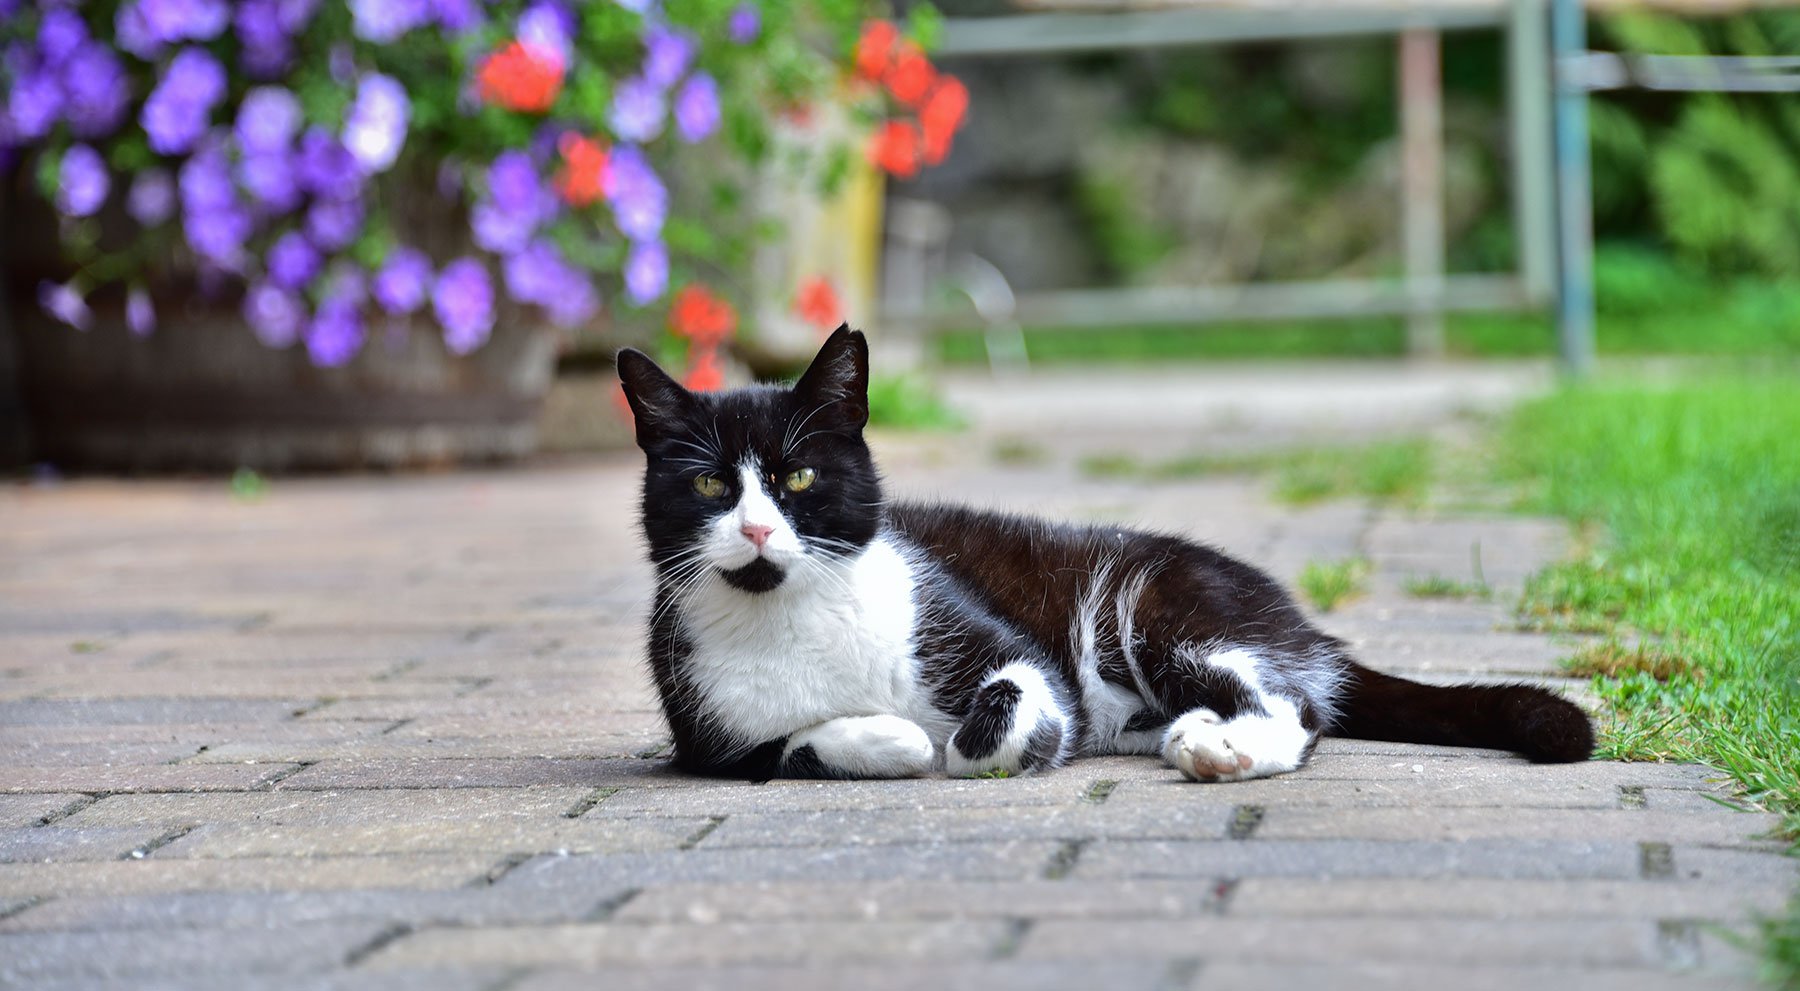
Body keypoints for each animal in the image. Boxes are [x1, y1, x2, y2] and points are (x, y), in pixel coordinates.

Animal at [615, 325, 1591, 784]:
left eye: (801, 475)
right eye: (710, 484)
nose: (755, 530)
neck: (791, 611)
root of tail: (1306, 626)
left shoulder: (1002, 645)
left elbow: (1009, 715)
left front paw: (964, 739)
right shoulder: (708, 734)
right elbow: (784, 747)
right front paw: (884, 734)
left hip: (1158, 605)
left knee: (1300, 709)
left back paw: (1221, 746)